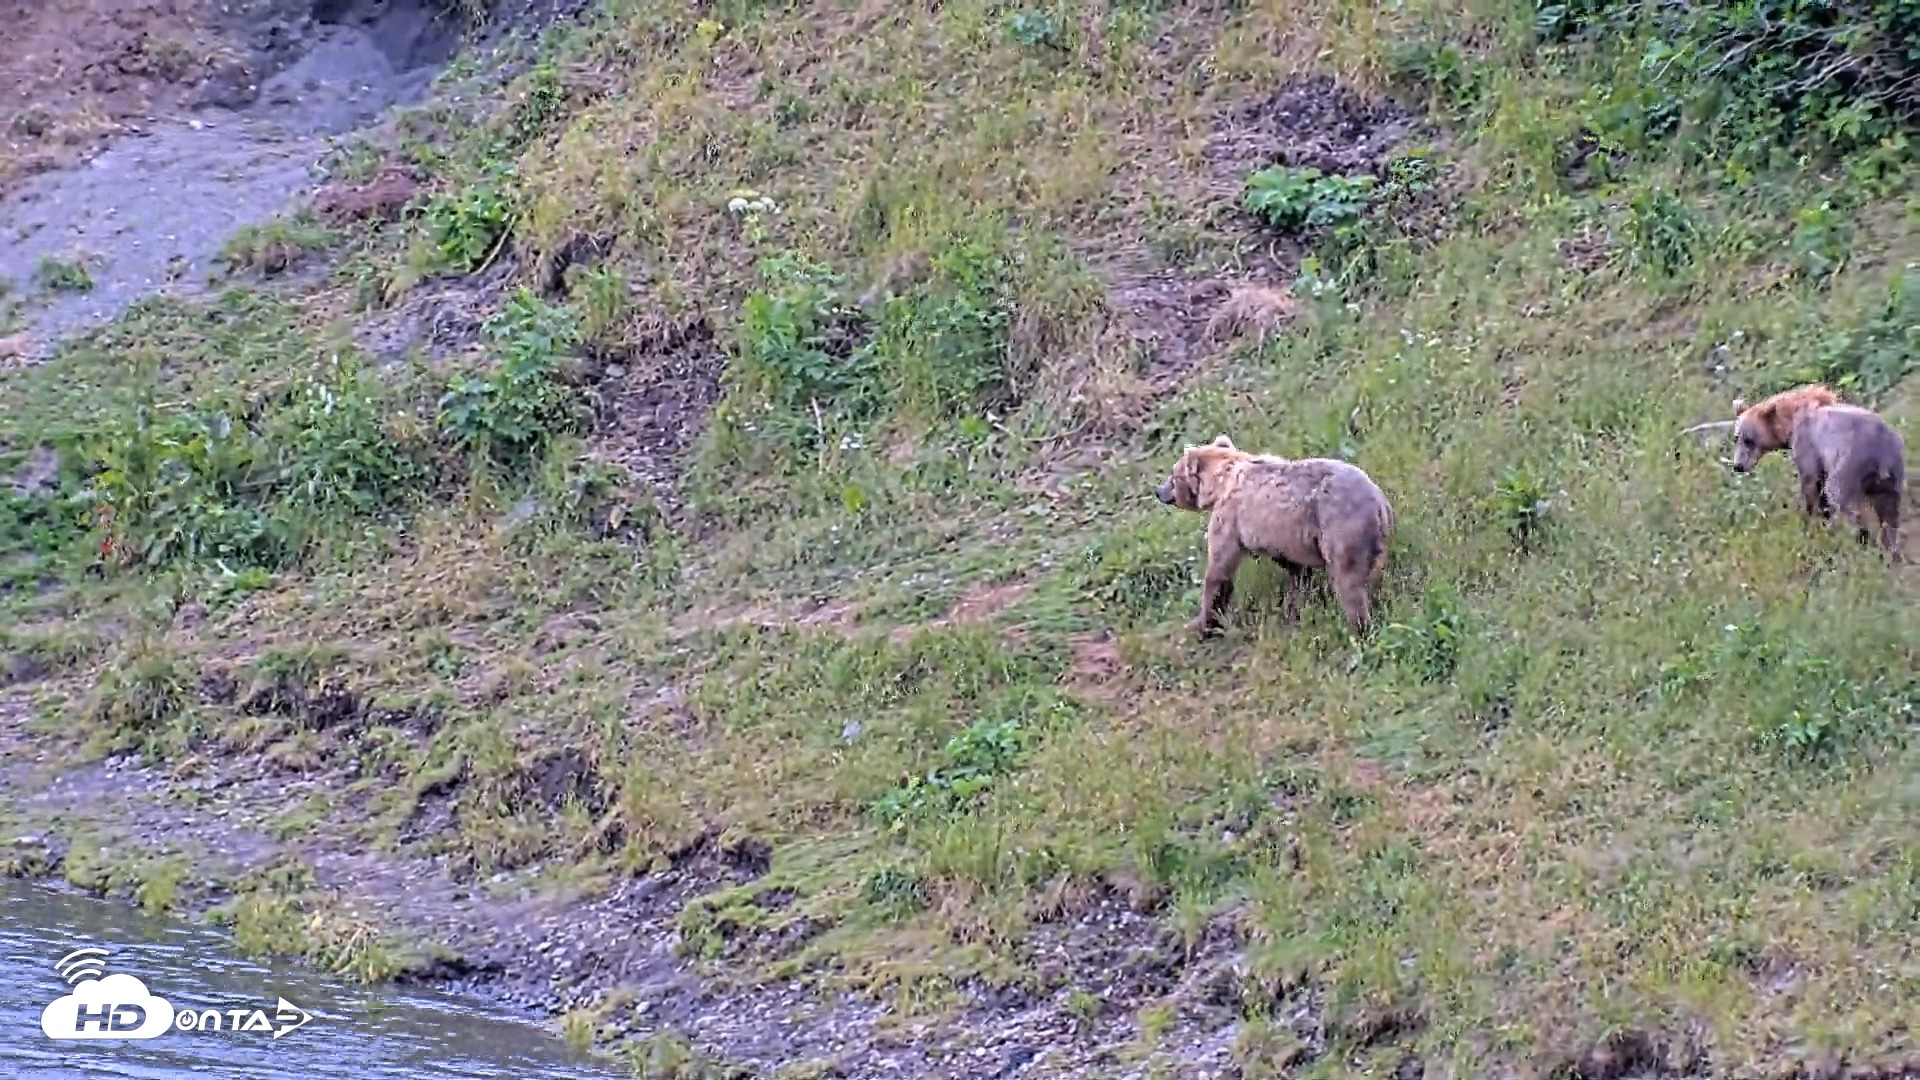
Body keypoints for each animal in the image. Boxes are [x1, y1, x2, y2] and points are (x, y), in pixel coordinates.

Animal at [1154, 435, 1395, 638]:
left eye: (1172, 475)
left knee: (1349, 583)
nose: (1158, 491)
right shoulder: (1284, 536)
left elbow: (1220, 568)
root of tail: (1378, 502)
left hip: (1340, 528)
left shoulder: (1230, 518)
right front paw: (1294, 607)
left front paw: (1201, 623)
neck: (1220, 482)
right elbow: (1296, 571)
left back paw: (1358, 628)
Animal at [1728, 384, 1906, 558]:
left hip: (1850, 463)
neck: (1789, 424)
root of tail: (1880, 446)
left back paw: (1860, 540)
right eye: (1736, 437)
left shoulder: (1809, 446)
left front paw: (1812, 522)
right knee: (1889, 513)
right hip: (1891, 473)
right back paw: (1890, 551)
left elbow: (1811, 485)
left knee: (1842, 498)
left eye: (1749, 440)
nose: (1738, 466)